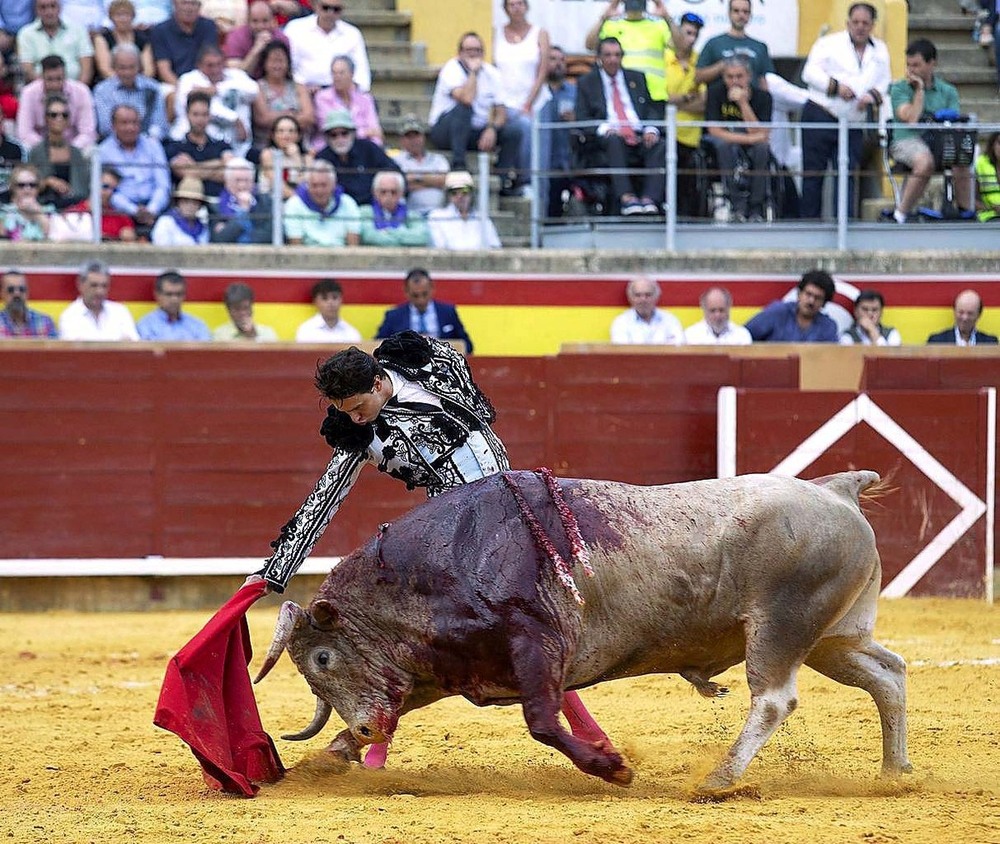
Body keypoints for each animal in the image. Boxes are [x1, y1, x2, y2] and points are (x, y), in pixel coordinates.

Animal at [258, 468, 916, 792]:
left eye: (321, 660)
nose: (365, 726)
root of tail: (837, 493)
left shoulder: (537, 644)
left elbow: (543, 722)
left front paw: (613, 768)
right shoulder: (442, 670)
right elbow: (408, 703)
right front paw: (330, 756)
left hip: (781, 627)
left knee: (775, 698)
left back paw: (720, 779)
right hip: (833, 638)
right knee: (888, 674)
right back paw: (893, 772)